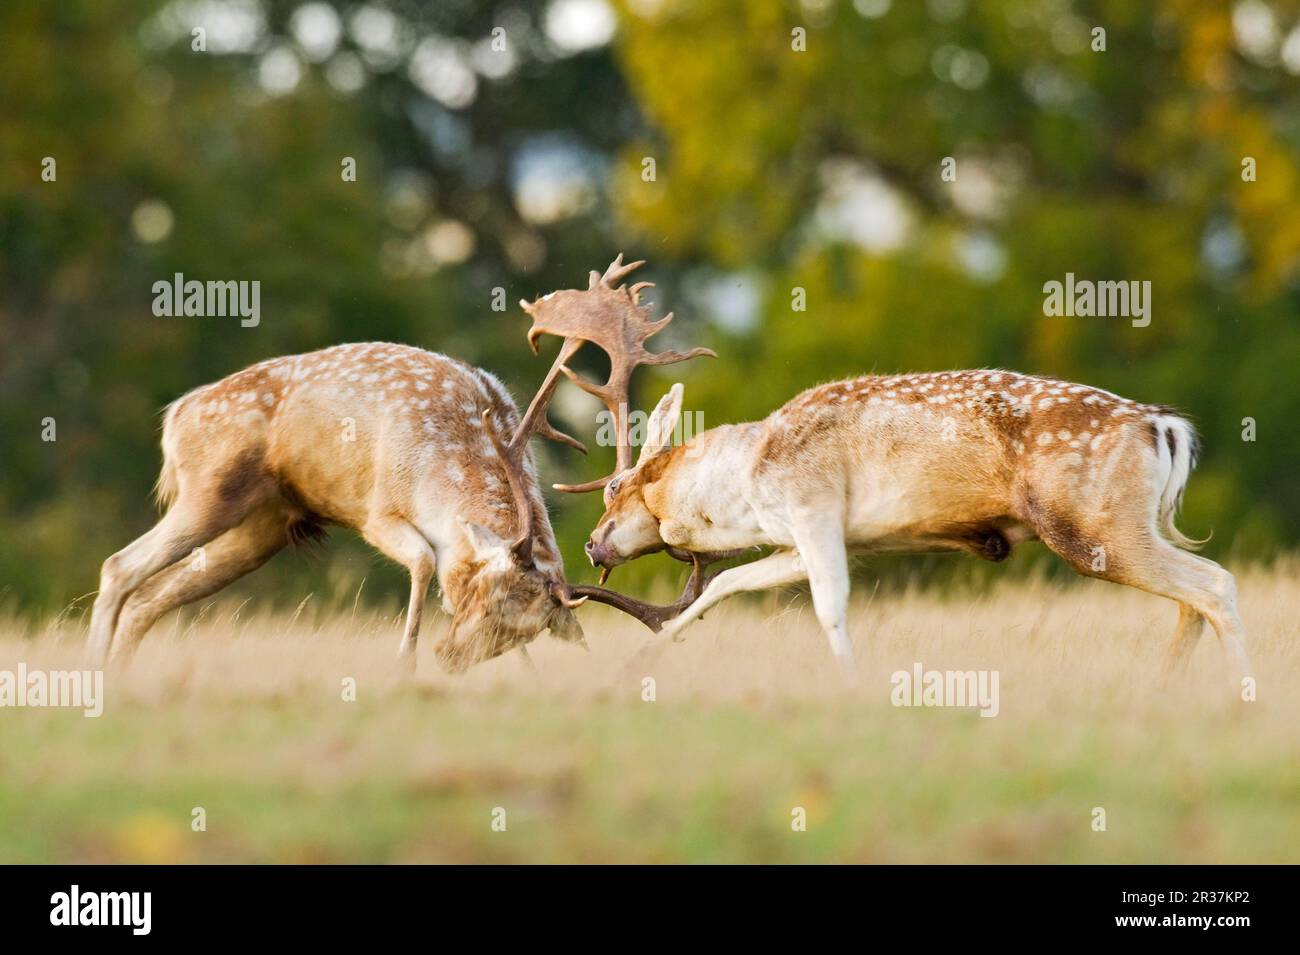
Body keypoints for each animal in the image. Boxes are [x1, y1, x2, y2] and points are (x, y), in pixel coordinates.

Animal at [89, 255, 722, 670]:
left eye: (518, 631)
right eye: (479, 593)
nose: (449, 657)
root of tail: (176, 415)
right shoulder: (377, 510)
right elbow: (420, 561)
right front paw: (404, 664)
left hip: (262, 526)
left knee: (148, 598)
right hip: (209, 488)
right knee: (119, 566)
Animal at [585, 369, 1253, 686]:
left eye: (615, 488)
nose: (592, 543)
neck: (748, 482)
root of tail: (1165, 427)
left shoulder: (813, 504)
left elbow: (831, 607)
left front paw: (853, 685)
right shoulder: (804, 538)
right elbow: (731, 583)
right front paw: (643, 660)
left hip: (1090, 525)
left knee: (1215, 583)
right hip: (1129, 524)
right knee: (1193, 597)